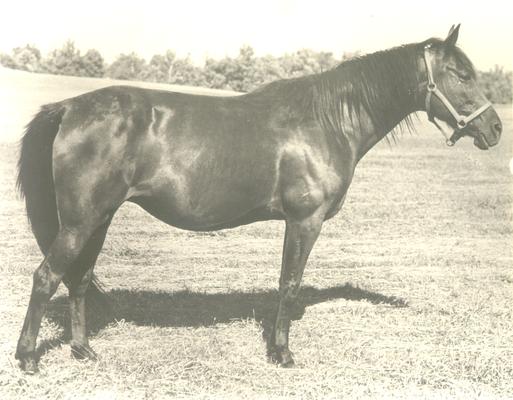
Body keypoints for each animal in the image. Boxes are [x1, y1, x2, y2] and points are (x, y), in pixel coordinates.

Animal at [15, 25, 500, 376]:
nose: (494, 128)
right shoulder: (304, 221)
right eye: (460, 75)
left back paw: (83, 351)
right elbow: (289, 283)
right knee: (46, 278)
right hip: (80, 223)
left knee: (78, 280)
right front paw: (282, 354)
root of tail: (69, 108)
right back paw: (28, 359)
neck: (326, 120)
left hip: (98, 219)